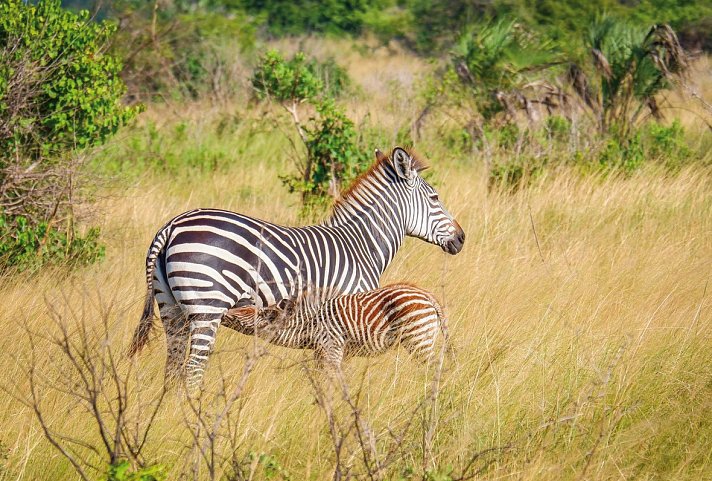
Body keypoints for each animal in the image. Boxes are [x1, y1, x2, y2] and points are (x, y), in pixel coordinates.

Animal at [222, 284, 448, 372]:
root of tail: (426, 294)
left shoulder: (331, 347)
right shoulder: (325, 352)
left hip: (418, 338)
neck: (308, 325)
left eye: (247, 311)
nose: (223, 311)